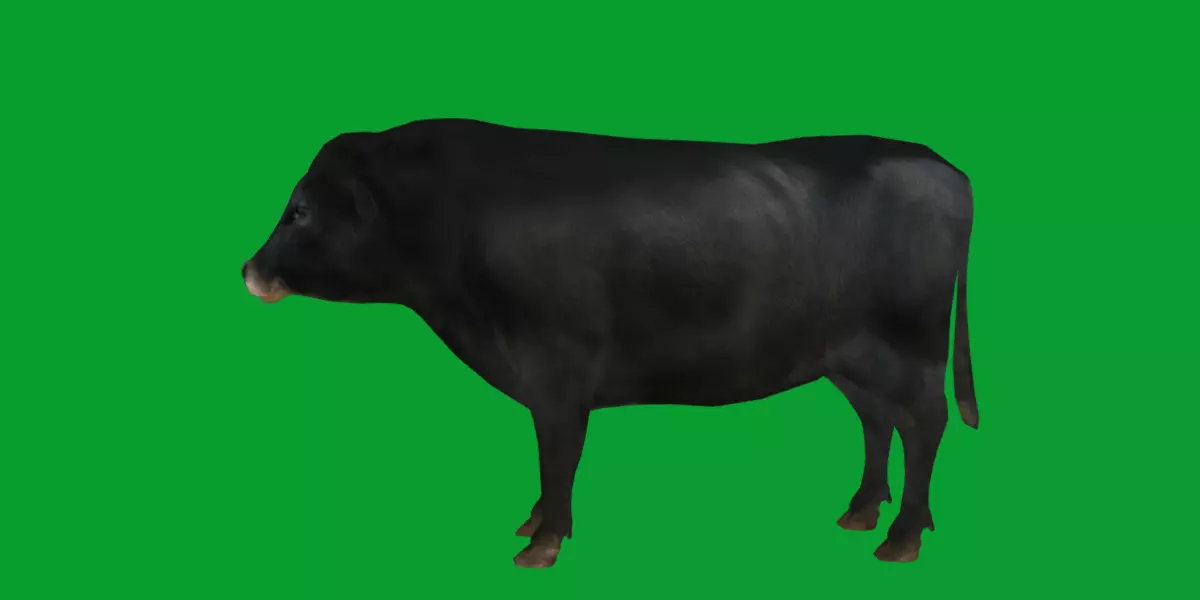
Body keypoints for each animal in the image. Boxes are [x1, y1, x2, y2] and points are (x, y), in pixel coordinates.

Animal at [242, 118, 979, 569]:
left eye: (301, 209)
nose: (248, 270)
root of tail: (945, 167)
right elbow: (552, 463)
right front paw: (533, 522)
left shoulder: (557, 371)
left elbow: (558, 455)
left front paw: (542, 543)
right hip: (849, 360)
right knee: (878, 421)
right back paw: (861, 511)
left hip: (909, 348)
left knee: (925, 421)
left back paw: (902, 537)